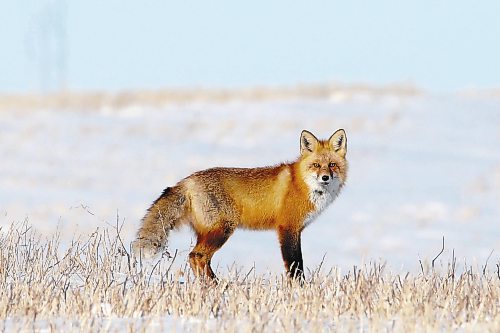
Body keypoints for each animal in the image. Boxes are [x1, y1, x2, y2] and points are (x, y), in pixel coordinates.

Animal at [134, 128, 348, 278]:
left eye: (332, 165)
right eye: (316, 165)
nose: (325, 177)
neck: (303, 184)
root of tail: (187, 180)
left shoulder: (296, 229)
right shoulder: (288, 228)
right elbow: (296, 266)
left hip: (208, 232)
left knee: (199, 259)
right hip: (222, 230)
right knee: (197, 257)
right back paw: (217, 286)